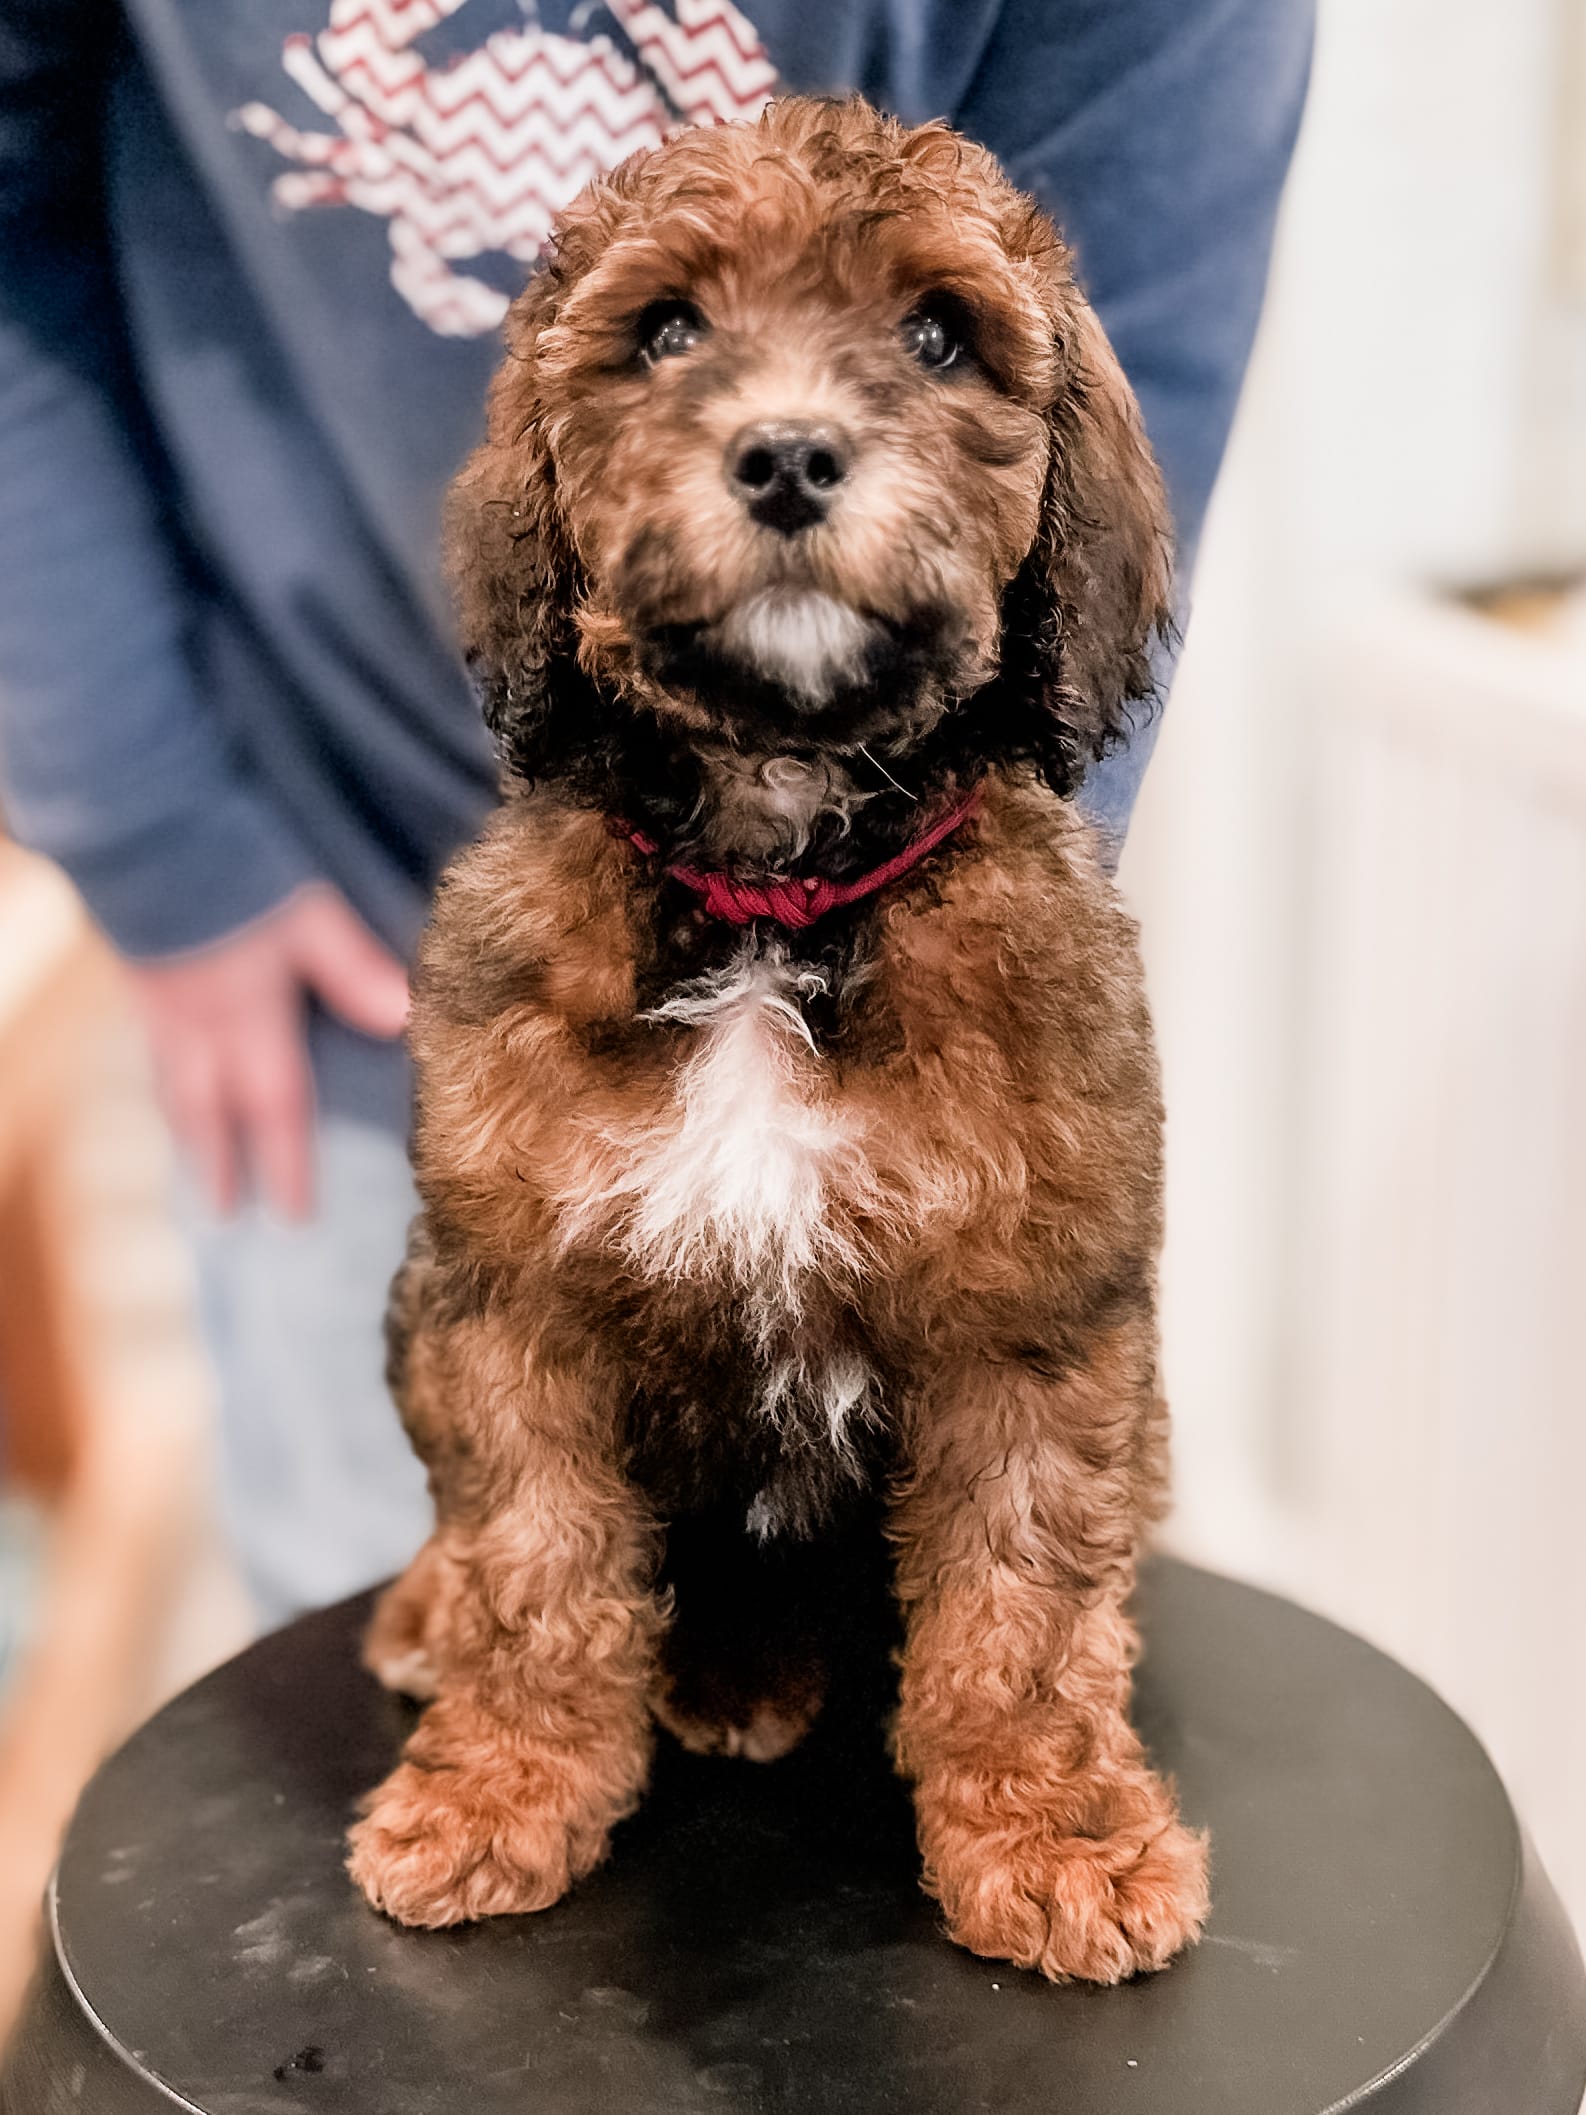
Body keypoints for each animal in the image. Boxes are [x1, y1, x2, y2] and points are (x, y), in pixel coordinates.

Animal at [346, 95, 1209, 1979]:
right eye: (668, 329)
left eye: (940, 336)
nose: (792, 459)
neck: (768, 887)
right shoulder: (510, 1295)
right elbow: (536, 1564)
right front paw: (500, 1787)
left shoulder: (1036, 1316)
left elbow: (1023, 1609)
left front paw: (1053, 1834)